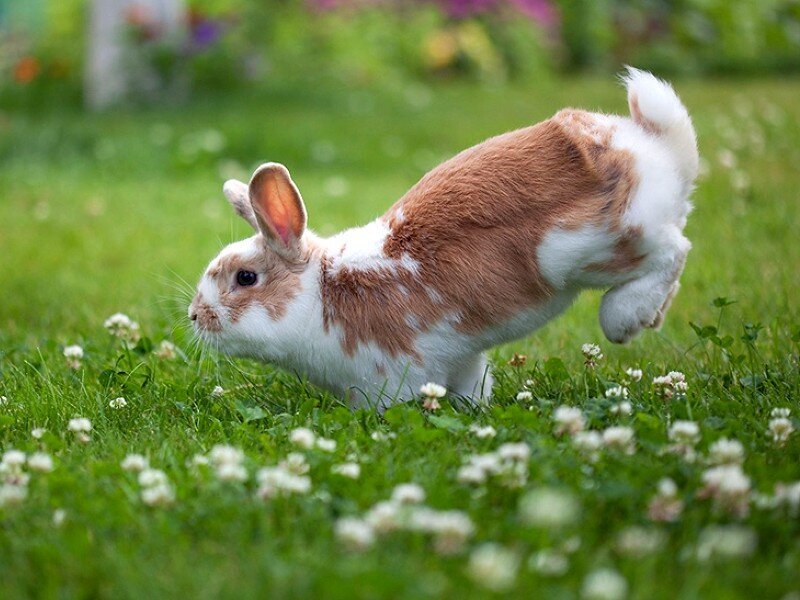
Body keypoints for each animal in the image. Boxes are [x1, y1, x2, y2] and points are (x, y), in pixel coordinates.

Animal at [190, 68, 698, 410]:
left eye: (246, 278)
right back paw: (650, 317)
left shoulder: (389, 375)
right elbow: (472, 386)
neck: (322, 291)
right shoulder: (461, 359)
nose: (195, 315)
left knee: (673, 251)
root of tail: (652, 147)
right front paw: (475, 411)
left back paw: (625, 319)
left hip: (590, 249)